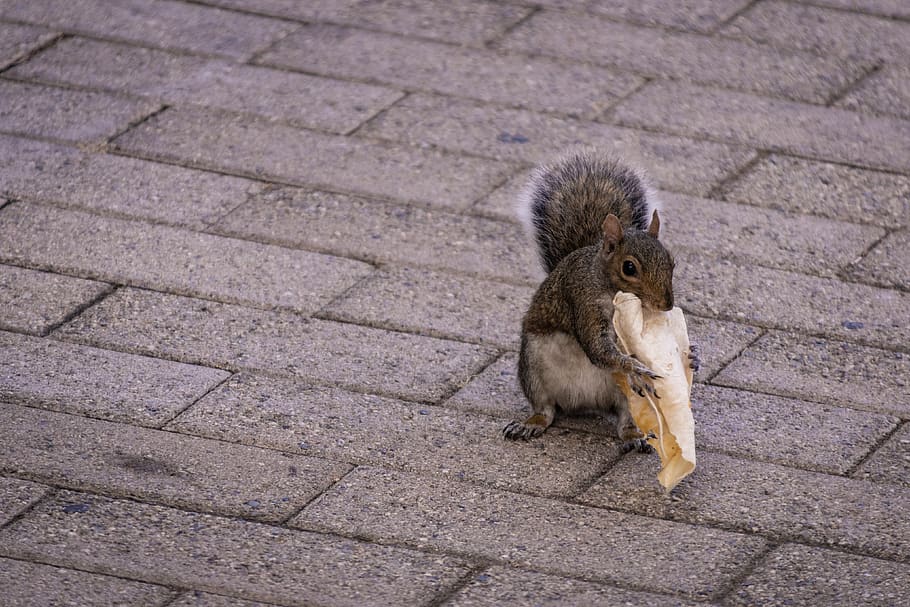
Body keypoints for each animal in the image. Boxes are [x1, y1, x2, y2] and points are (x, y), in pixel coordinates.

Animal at [503, 150, 698, 450]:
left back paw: (634, 435)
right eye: (629, 268)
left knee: (624, 420)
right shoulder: (582, 302)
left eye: (671, 262)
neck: (606, 284)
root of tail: (584, 401)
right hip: (533, 369)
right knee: (545, 409)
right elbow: (598, 347)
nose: (665, 305)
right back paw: (530, 423)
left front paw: (691, 356)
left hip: (624, 399)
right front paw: (634, 367)